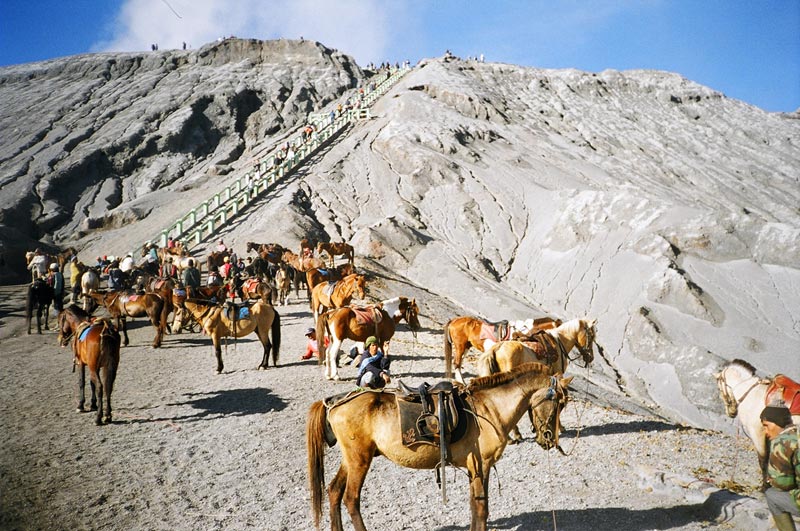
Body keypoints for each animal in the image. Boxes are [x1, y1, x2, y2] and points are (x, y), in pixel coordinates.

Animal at [304, 362, 572, 531]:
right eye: (559, 402)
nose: (550, 438)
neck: (488, 409)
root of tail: (335, 403)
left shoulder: (476, 469)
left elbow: (475, 506)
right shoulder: (481, 465)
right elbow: (481, 508)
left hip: (351, 459)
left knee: (334, 491)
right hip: (360, 459)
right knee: (351, 498)